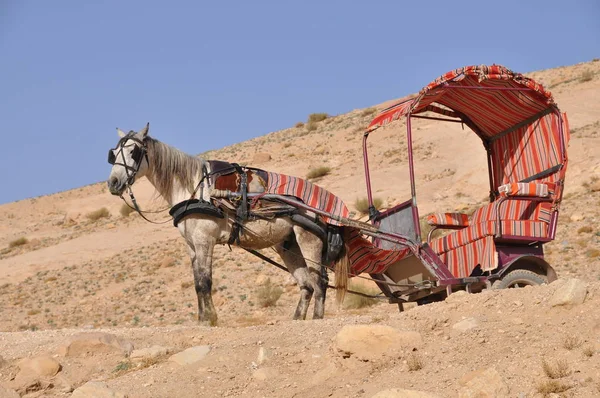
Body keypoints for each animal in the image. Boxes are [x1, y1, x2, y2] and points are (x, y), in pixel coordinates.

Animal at [105, 124, 344, 326]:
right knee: (306, 284)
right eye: (113, 154)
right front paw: (202, 319)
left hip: (308, 239)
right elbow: (197, 283)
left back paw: (317, 318)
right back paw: (297, 319)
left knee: (319, 281)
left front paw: (211, 319)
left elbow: (205, 281)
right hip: (287, 244)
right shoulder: (191, 245)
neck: (195, 188)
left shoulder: (204, 240)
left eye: (134, 151)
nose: (113, 183)